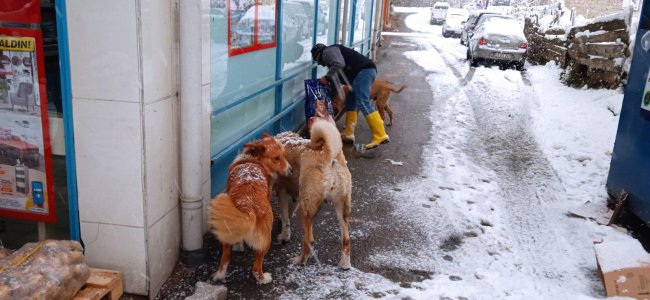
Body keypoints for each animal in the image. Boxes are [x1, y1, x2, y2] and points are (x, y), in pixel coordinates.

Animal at [209, 134, 290, 286]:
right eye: (277, 158)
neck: (253, 159)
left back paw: (220, 276)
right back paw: (264, 279)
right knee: (256, 267)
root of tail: (248, 206)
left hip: (227, 235)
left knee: (225, 259)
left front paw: (239, 245)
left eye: (284, 155)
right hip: (265, 240)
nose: (291, 170)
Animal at [274, 118, 352, 268]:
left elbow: (286, 217)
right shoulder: (295, 194)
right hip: (342, 205)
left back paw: (299, 261)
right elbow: (288, 212)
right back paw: (344, 264)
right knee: (346, 238)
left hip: (306, 208)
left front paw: (284, 236)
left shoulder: (282, 192)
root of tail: (328, 153)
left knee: (309, 240)